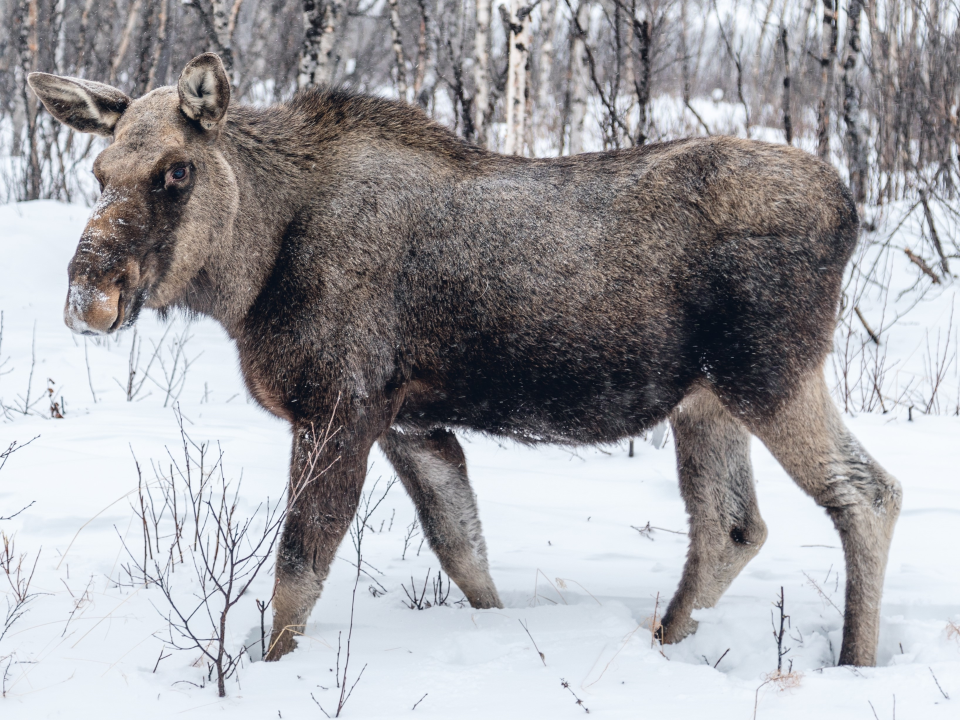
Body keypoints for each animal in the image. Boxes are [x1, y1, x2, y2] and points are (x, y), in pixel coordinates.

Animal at [30, 53, 900, 668]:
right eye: (99, 171)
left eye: (176, 171)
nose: (88, 293)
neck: (252, 270)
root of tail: (851, 209)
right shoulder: (410, 422)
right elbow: (463, 549)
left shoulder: (338, 407)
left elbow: (298, 572)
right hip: (706, 401)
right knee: (731, 525)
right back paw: (667, 641)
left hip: (770, 372)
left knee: (867, 491)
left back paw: (854, 663)